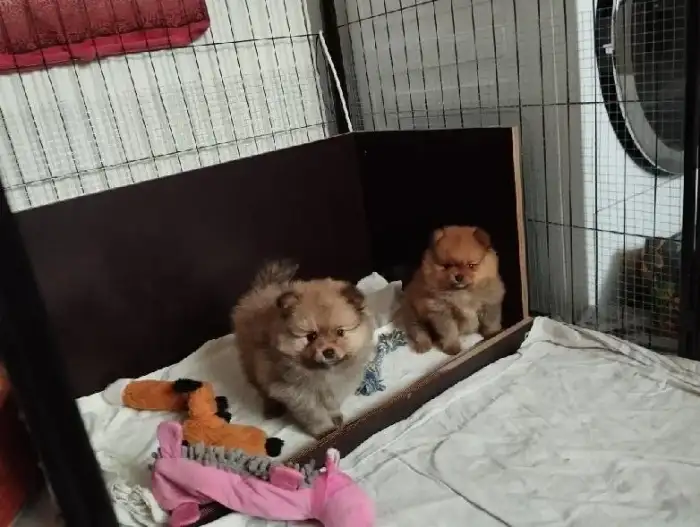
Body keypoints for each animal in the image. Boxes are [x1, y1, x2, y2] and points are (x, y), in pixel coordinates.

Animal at [232, 260, 375, 438]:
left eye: (340, 332)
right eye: (311, 336)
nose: (328, 351)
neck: (325, 371)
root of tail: (260, 291)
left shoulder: (335, 388)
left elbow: (332, 404)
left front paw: (335, 417)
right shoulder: (297, 393)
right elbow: (315, 414)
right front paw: (324, 430)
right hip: (253, 365)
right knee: (261, 388)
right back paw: (271, 407)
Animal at [399, 225, 505, 355]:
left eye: (471, 265)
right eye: (447, 265)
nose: (458, 276)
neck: (462, 292)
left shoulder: (490, 302)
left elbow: (490, 321)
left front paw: (493, 333)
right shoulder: (441, 311)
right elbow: (449, 331)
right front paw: (452, 347)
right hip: (413, 314)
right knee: (418, 331)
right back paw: (423, 345)